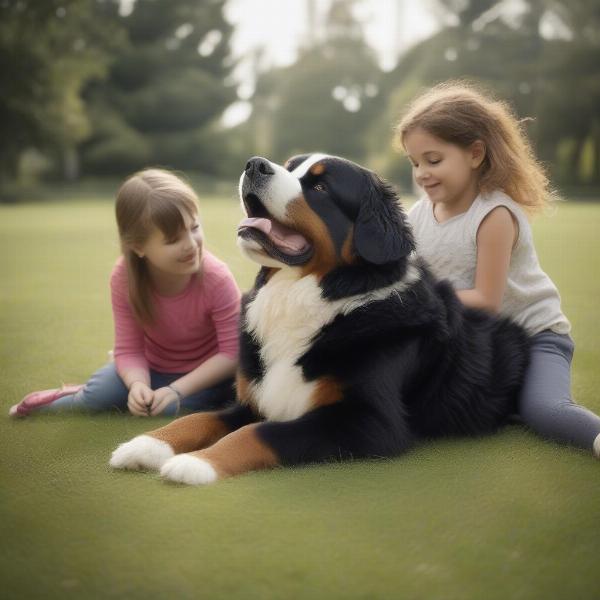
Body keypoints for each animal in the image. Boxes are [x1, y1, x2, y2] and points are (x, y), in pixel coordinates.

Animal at [109, 154, 528, 482]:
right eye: (289, 166)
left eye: (321, 187)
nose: (255, 164)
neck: (306, 296)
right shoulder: (253, 399)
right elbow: (200, 420)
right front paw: (146, 443)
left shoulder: (368, 422)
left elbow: (257, 434)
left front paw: (197, 464)